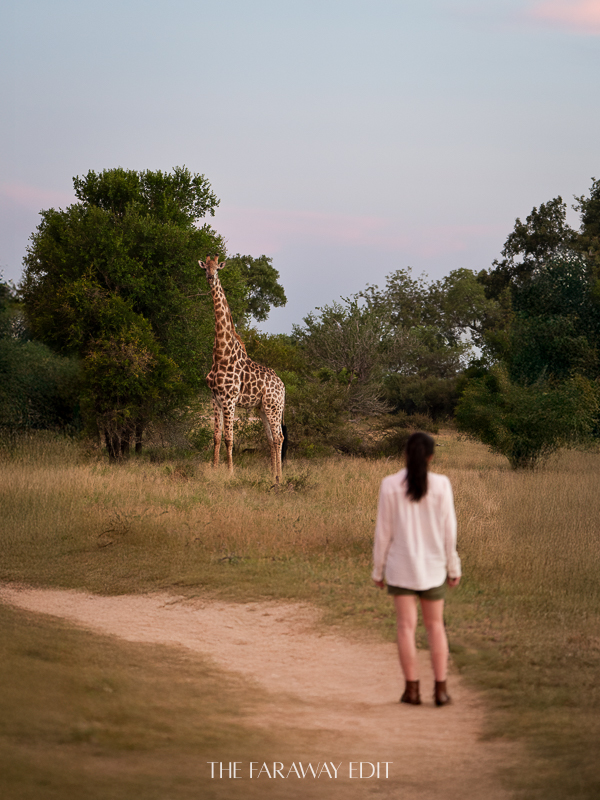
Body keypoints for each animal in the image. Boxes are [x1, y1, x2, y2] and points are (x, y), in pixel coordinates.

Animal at [199, 256, 286, 483]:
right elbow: (216, 436)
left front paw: (230, 472)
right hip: (263, 409)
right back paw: (272, 475)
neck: (221, 353)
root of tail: (283, 386)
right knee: (271, 438)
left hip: (274, 407)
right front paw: (214, 469)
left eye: (217, 269)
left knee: (279, 436)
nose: (210, 277)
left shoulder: (229, 399)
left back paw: (280, 477)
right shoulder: (214, 398)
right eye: (205, 268)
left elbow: (229, 438)